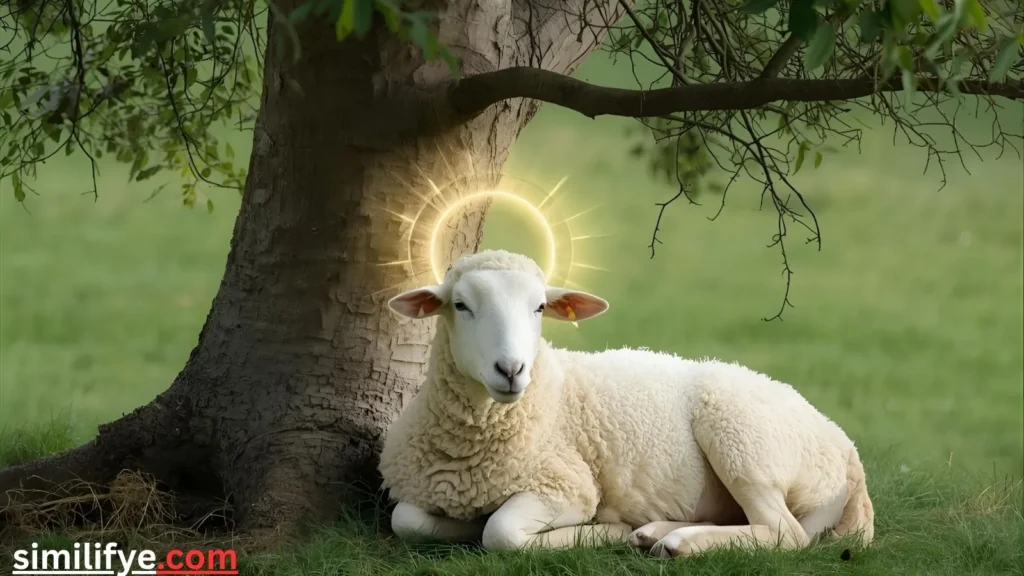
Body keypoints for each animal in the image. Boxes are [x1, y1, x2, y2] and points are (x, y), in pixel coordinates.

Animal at [378, 249, 874, 557]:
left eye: (539, 308)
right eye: (460, 305)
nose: (511, 369)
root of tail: (847, 450)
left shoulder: (567, 485)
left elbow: (500, 532)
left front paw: (601, 531)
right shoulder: (426, 486)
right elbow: (407, 521)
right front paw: (461, 526)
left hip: (744, 441)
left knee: (785, 534)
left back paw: (677, 543)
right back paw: (654, 533)